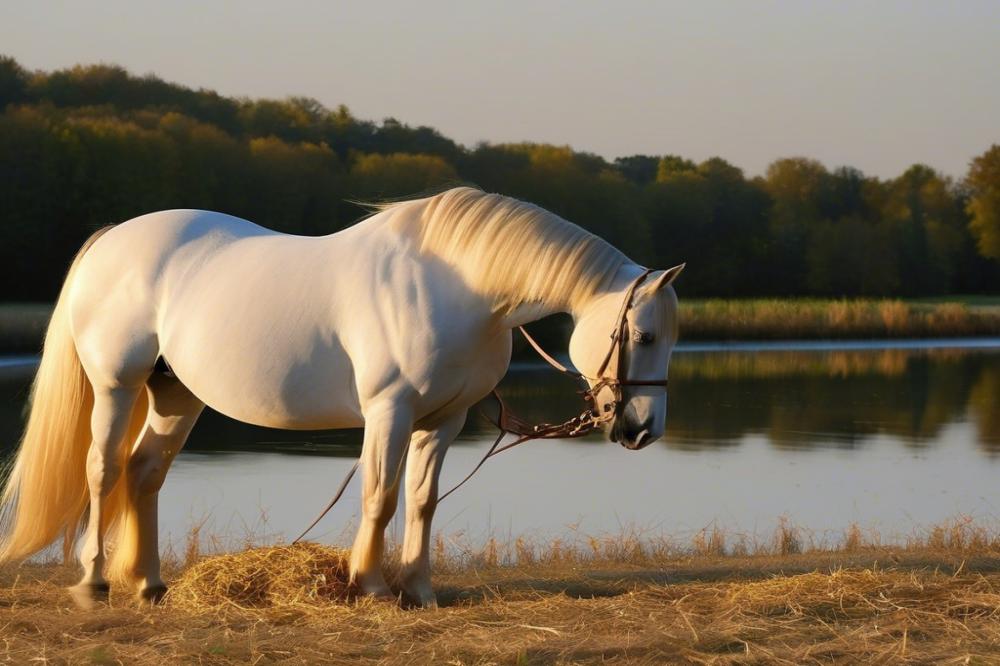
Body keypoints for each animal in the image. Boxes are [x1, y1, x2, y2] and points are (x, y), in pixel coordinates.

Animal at [0, 187, 680, 608]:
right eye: (644, 335)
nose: (642, 428)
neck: (454, 285)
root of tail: (113, 240)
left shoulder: (444, 420)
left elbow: (422, 501)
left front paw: (421, 590)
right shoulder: (389, 411)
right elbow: (380, 496)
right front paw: (371, 586)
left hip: (177, 395)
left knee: (144, 473)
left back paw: (148, 584)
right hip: (116, 385)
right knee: (103, 469)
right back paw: (94, 582)